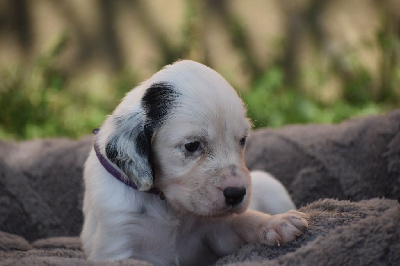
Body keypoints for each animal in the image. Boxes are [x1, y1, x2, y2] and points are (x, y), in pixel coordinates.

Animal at [80, 60, 306, 266]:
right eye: (192, 145)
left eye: (242, 140)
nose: (237, 194)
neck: (165, 204)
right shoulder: (117, 245)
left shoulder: (217, 233)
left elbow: (241, 220)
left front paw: (275, 223)